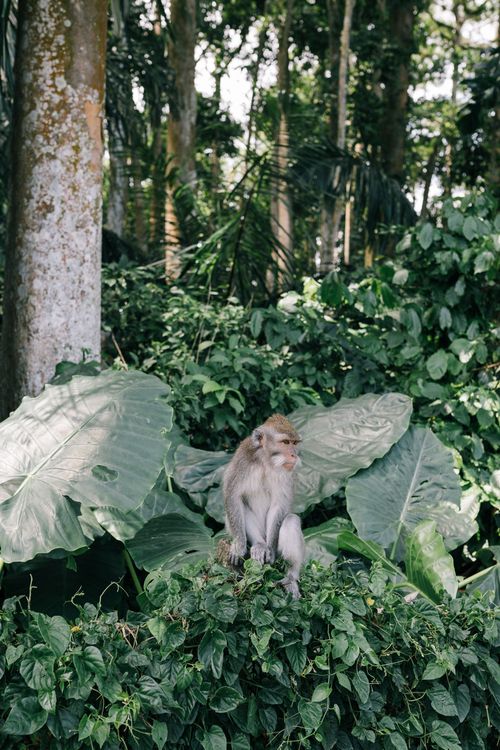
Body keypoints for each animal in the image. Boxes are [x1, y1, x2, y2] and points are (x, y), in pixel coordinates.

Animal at [223, 414, 305, 599]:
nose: (294, 455)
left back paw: (291, 577)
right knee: (242, 506)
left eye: (294, 443)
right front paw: (239, 546)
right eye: (285, 442)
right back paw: (259, 545)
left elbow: (279, 505)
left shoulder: (286, 474)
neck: (267, 461)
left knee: (291, 520)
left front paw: (271, 551)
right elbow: (233, 495)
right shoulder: (243, 460)